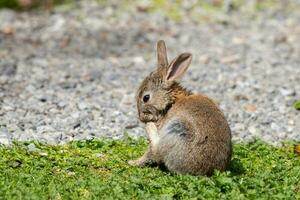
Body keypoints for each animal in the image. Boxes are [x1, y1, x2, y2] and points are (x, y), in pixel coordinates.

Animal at [129, 40, 232, 175]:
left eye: (146, 98)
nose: (141, 118)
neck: (171, 101)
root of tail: (205, 170)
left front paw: (133, 162)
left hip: (176, 130)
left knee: (157, 152)